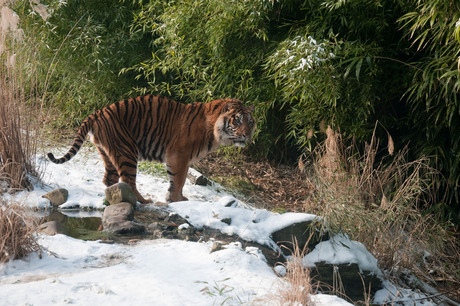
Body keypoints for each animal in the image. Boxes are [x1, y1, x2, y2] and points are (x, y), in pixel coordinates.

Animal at [47, 94, 255, 204]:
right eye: (237, 121)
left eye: (250, 122)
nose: (247, 135)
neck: (214, 131)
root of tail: (96, 113)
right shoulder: (179, 155)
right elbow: (179, 181)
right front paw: (177, 200)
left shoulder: (180, 158)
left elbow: (176, 182)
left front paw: (176, 199)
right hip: (127, 151)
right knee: (128, 181)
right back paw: (144, 201)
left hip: (107, 152)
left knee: (109, 180)